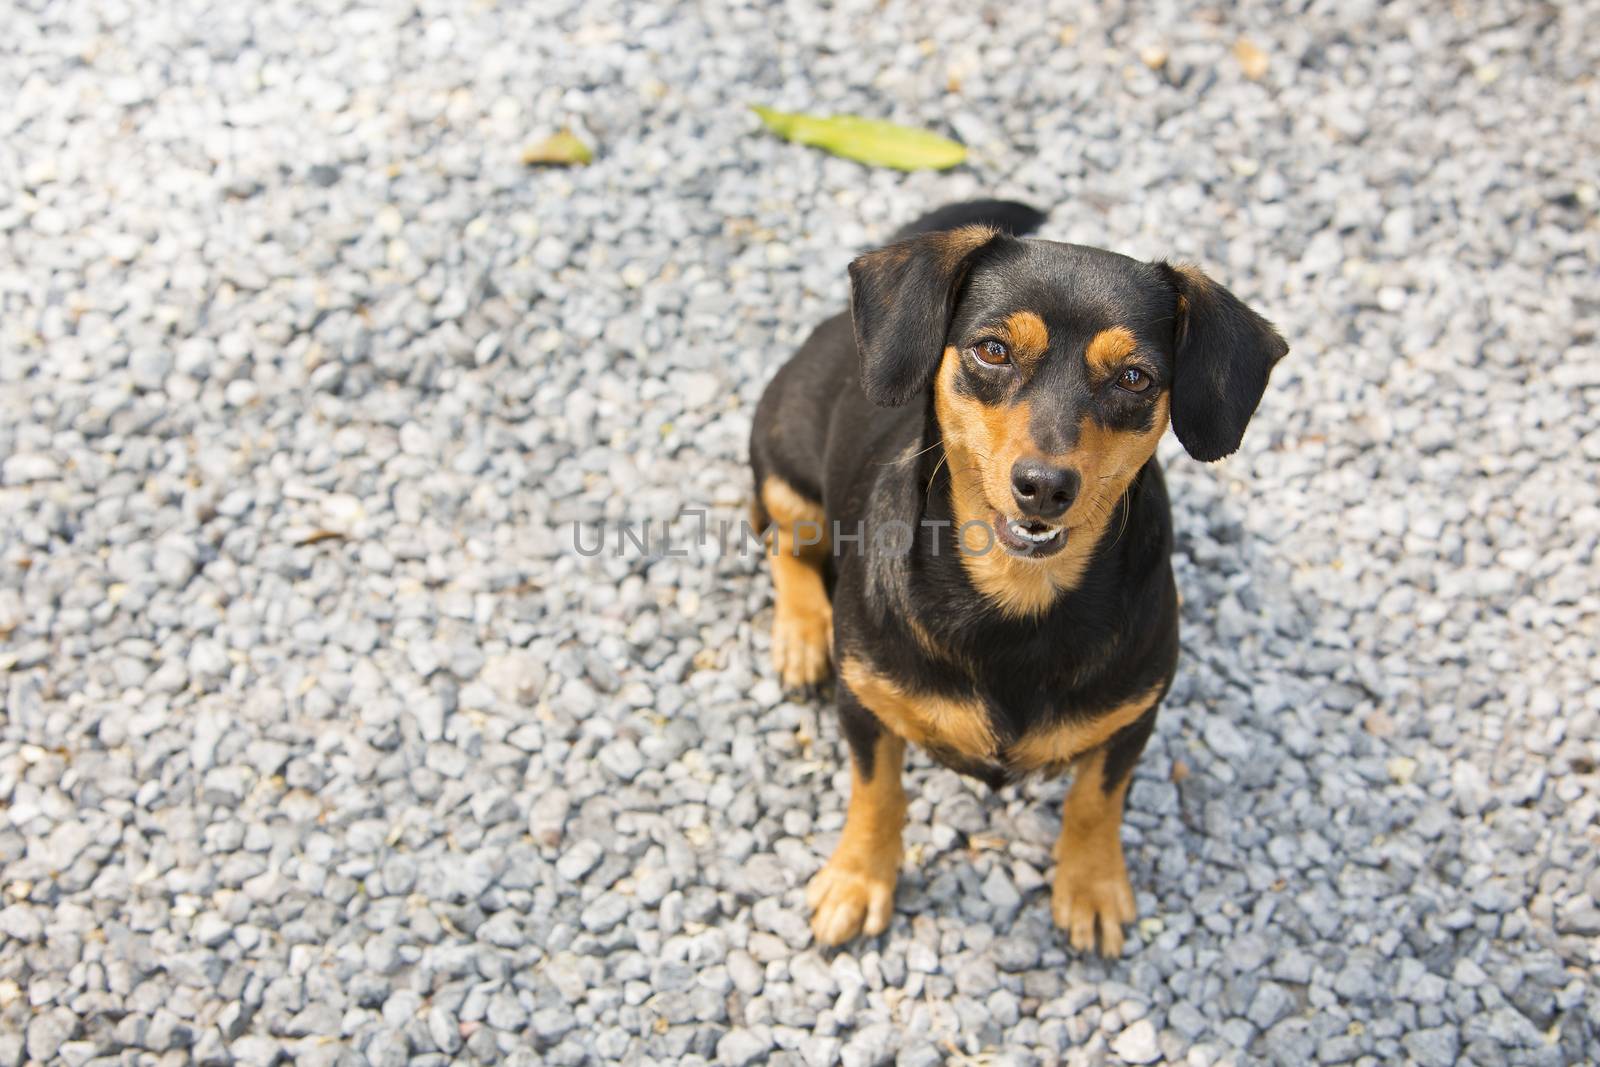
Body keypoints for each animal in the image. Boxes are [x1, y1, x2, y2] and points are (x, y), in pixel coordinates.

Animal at [748, 199, 1286, 959]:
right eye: (992, 350)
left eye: (1135, 379)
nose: (1044, 487)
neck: (1015, 595)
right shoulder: (865, 701)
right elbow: (877, 792)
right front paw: (858, 879)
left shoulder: (1134, 716)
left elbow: (1096, 801)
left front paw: (1091, 887)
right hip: (784, 471)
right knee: (781, 541)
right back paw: (800, 636)